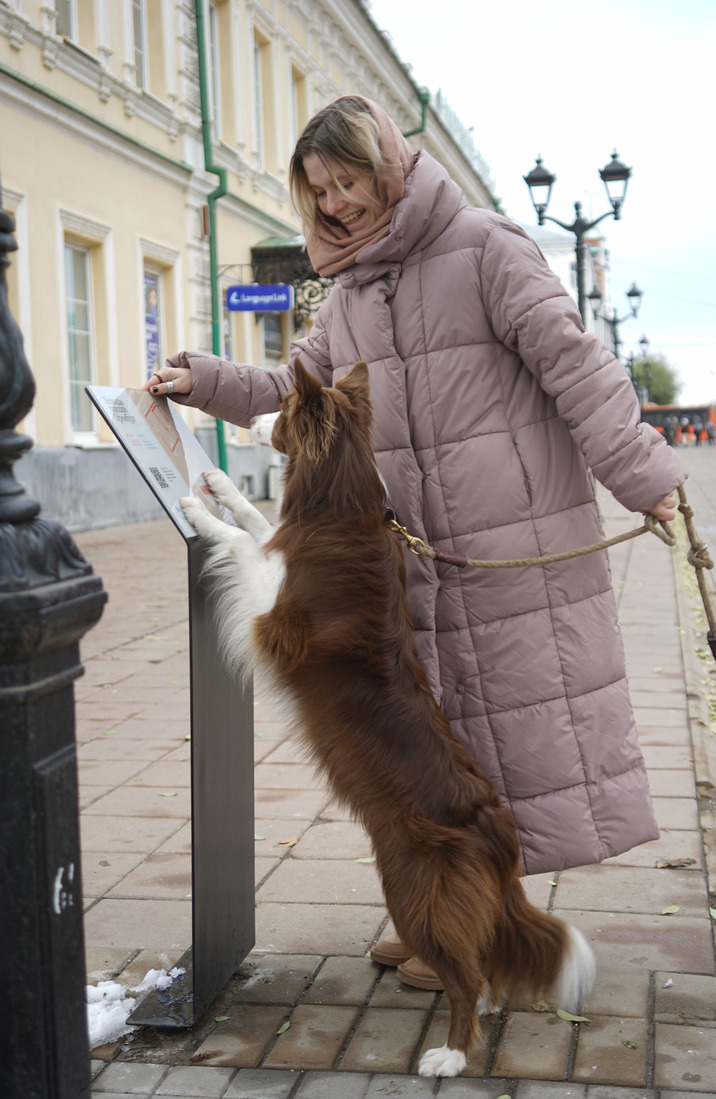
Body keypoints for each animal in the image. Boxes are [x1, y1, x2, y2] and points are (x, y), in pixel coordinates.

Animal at [179, 358, 593, 1072]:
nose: (253, 417)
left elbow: (243, 543)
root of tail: (496, 833)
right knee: (482, 960)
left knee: (462, 973)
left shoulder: (276, 621)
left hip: (411, 889)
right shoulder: (279, 560)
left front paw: (197, 508)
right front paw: (218, 483)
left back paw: (450, 1054)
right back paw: (486, 1009)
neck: (342, 506)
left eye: (284, 407)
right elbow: (257, 523)